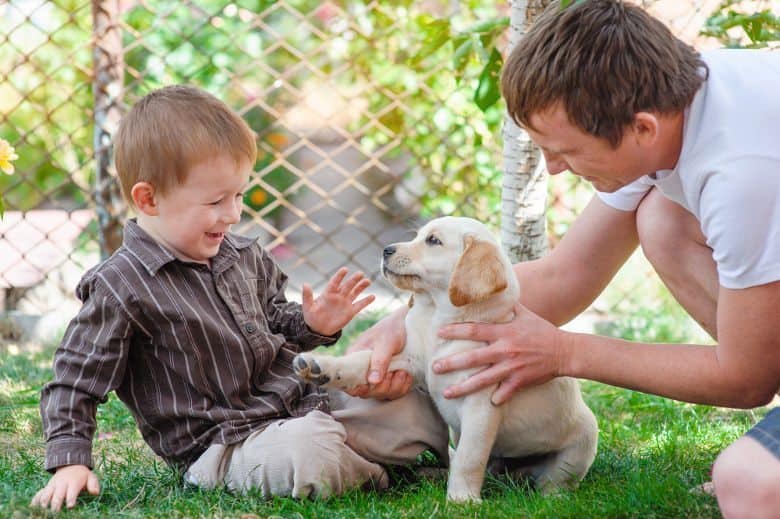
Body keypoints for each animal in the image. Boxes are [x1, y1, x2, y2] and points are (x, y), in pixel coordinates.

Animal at [292, 216, 596, 504]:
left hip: (581, 445)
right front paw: (321, 366)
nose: (386, 249)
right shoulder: (410, 360)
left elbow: (468, 459)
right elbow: (363, 360)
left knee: (553, 481)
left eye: (433, 241)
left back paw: (551, 497)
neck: (436, 317)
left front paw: (462, 500)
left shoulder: (480, 407)